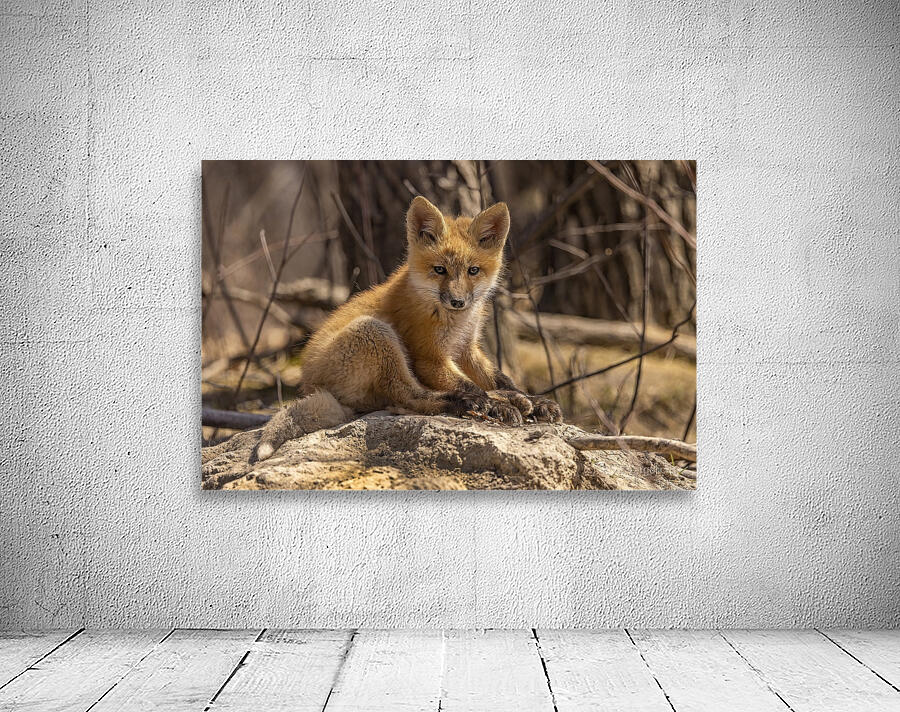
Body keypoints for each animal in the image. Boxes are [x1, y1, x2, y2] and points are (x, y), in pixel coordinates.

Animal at [255, 195, 563, 461]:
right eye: (440, 270)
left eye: (473, 271)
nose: (458, 301)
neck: (455, 321)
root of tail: (308, 386)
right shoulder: (429, 358)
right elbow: (473, 386)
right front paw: (499, 404)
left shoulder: (466, 349)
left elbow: (500, 379)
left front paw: (530, 399)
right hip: (376, 335)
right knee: (411, 398)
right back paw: (469, 404)